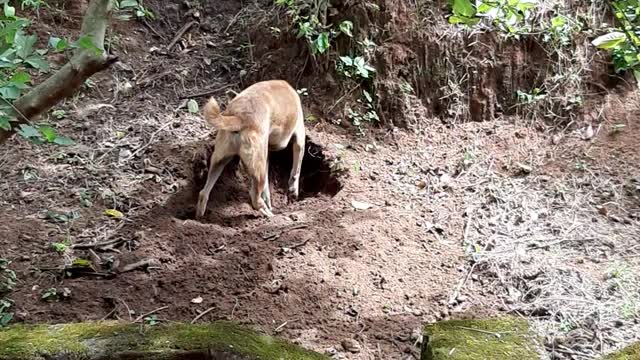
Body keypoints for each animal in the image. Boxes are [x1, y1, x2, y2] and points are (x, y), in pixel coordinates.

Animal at [195, 80, 304, 218]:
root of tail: (239, 117)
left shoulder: (266, 156)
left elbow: (266, 186)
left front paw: (268, 199)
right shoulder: (300, 138)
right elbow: (296, 170)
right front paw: (293, 190)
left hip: (220, 160)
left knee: (203, 193)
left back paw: (198, 217)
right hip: (256, 167)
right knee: (254, 199)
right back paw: (268, 214)